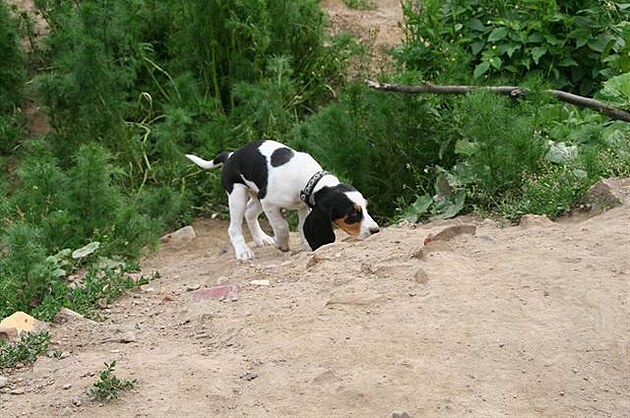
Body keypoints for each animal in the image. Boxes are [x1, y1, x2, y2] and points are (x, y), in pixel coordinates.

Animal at [186, 140, 380, 258]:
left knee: (249, 213)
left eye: (366, 208)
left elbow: (302, 227)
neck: (309, 178)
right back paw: (243, 252)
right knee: (234, 227)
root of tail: (230, 155)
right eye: (352, 215)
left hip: (256, 197)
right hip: (238, 195)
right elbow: (282, 226)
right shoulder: (269, 204)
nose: (375, 231)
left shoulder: (303, 206)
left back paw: (261, 238)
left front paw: (308, 246)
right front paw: (282, 244)